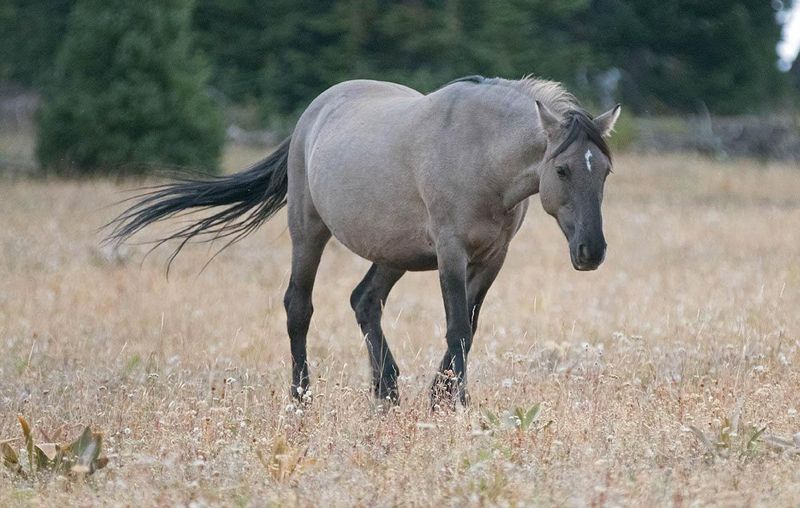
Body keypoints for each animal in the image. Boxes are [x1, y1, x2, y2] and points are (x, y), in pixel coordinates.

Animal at [108, 75, 620, 406]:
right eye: (562, 170)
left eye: (605, 171)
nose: (591, 252)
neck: (480, 153)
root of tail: (311, 114)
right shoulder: (451, 253)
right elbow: (456, 327)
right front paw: (456, 402)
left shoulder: (492, 258)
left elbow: (469, 330)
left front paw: (439, 396)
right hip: (308, 230)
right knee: (299, 306)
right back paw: (302, 397)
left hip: (393, 252)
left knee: (364, 301)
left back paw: (386, 391)